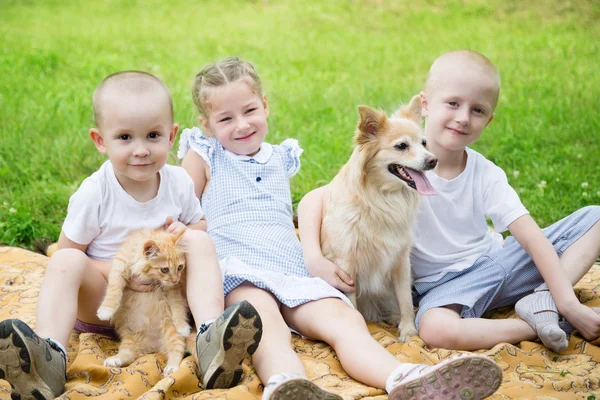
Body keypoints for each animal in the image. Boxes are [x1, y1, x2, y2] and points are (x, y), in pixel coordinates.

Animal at [96, 228, 190, 376]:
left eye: (180, 267)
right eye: (164, 269)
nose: (175, 280)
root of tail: (153, 348)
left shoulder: (173, 290)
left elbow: (177, 307)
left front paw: (183, 327)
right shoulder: (119, 264)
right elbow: (114, 288)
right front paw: (106, 309)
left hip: (170, 330)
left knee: (177, 349)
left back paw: (171, 368)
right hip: (130, 338)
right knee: (127, 354)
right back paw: (114, 360)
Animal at [322, 96, 438, 340]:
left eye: (424, 143)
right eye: (402, 146)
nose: (434, 160)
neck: (381, 200)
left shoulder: (401, 261)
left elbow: (405, 300)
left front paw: (408, 332)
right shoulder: (347, 266)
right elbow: (352, 305)